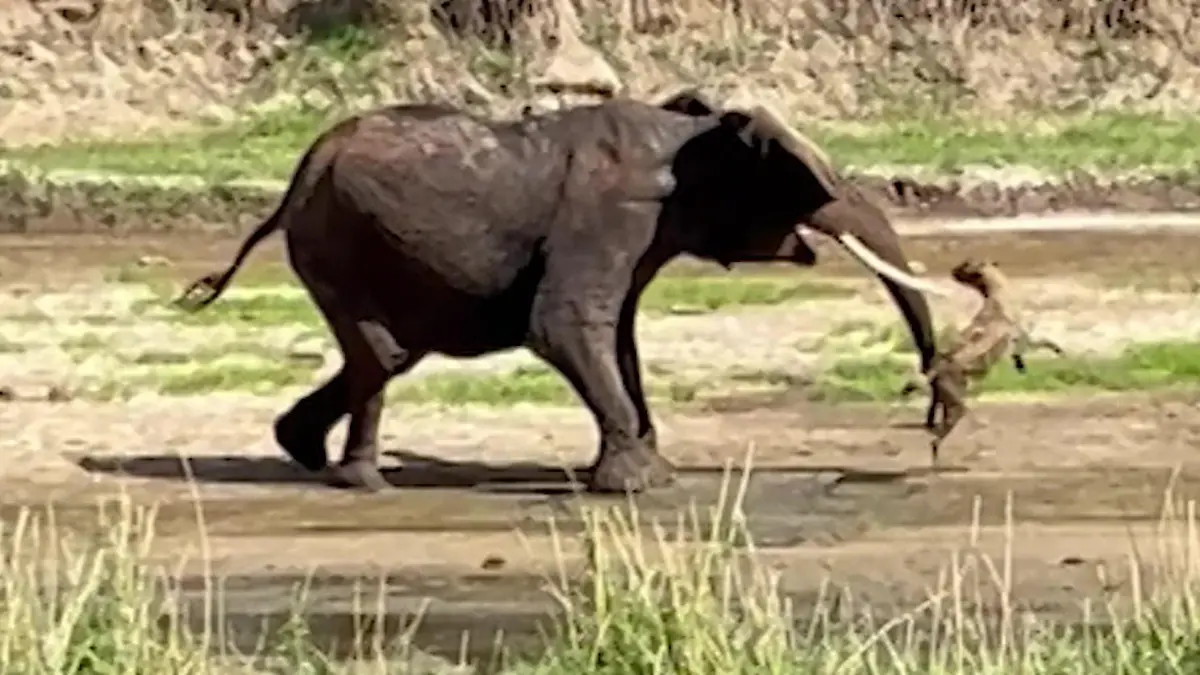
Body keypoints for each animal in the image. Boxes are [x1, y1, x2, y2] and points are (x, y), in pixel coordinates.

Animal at [175, 89, 943, 494]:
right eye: (814, 186)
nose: (935, 418)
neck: (688, 129)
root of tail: (299, 174)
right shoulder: (611, 215)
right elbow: (566, 325)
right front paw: (638, 486)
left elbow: (620, 338)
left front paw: (650, 472)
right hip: (340, 239)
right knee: (384, 352)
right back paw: (357, 479)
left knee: (387, 355)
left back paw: (315, 459)